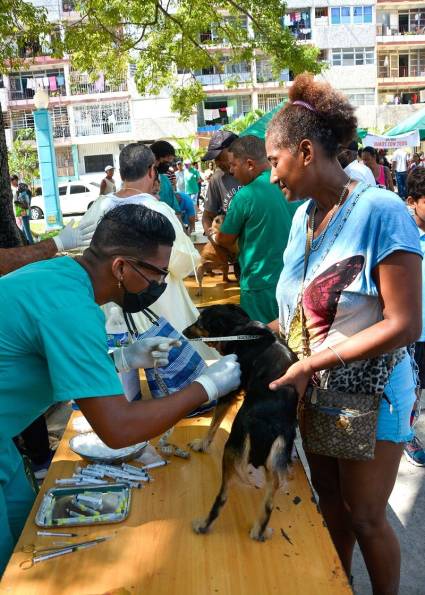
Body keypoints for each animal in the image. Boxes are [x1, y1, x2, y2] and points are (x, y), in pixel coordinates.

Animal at [183, 304, 298, 544]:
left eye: (199, 322)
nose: (183, 331)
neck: (240, 327)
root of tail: (269, 425)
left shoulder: (230, 391)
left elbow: (214, 422)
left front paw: (202, 444)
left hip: (231, 451)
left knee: (222, 498)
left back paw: (203, 526)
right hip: (275, 465)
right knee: (269, 503)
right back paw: (259, 531)